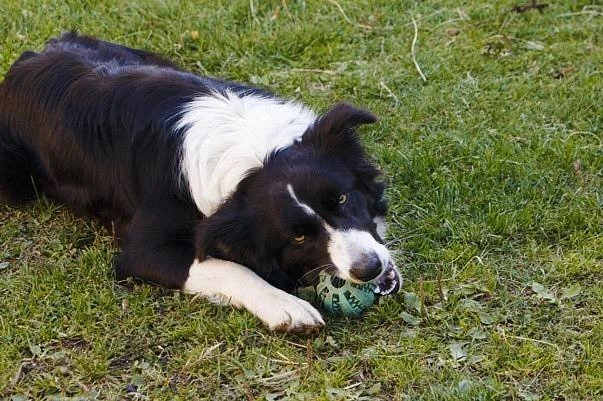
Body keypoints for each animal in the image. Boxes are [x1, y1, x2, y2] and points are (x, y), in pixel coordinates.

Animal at [0, 33, 401, 332]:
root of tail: (26, 62)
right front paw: (285, 305)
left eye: (342, 199)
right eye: (299, 236)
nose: (369, 268)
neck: (255, 155)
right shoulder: (144, 250)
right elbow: (230, 267)